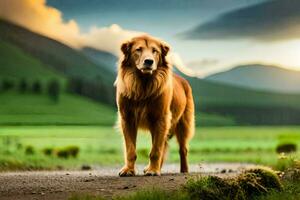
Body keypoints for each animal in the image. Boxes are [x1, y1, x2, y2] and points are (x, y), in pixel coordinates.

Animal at [115, 35, 195, 176]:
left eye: (155, 51)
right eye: (138, 49)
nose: (149, 61)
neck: (143, 84)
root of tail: (184, 80)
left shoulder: (161, 118)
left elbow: (156, 150)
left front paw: (153, 170)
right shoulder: (127, 118)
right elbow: (130, 149)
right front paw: (128, 170)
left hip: (183, 124)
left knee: (183, 149)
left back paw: (183, 170)